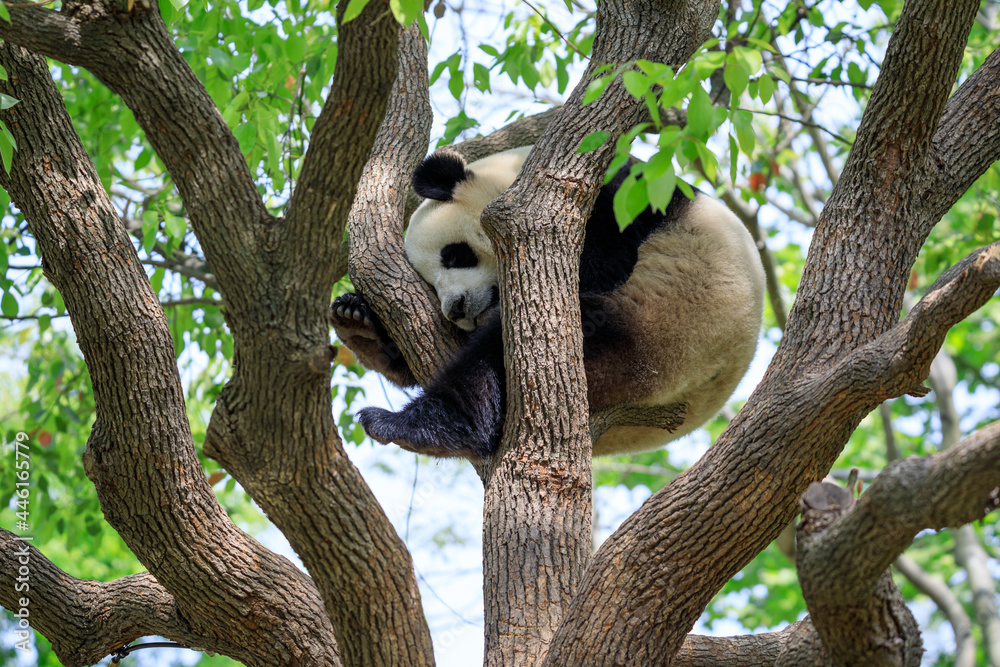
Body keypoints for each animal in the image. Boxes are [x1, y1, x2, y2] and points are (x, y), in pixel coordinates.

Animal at [331, 145, 766, 461]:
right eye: (429, 285)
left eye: (454, 255)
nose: (456, 309)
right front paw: (361, 316)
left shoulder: (624, 199)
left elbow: (605, 259)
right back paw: (361, 330)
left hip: (653, 331)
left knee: (493, 358)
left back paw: (420, 427)